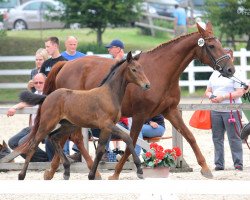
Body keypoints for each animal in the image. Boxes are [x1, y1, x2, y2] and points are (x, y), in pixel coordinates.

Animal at [15, 51, 150, 180]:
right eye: (134, 69)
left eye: (142, 68)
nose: (147, 85)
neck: (109, 94)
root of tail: (47, 97)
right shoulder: (107, 124)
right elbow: (128, 138)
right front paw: (140, 170)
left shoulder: (106, 128)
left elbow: (100, 150)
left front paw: (91, 175)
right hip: (47, 124)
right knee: (33, 145)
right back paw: (22, 175)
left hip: (68, 126)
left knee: (54, 138)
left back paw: (66, 170)